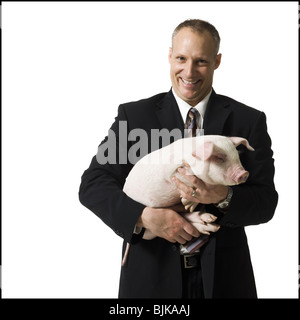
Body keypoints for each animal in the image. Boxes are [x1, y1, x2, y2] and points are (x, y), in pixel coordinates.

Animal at [120, 135, 254, 264]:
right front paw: (186, 202)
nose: (244, 174)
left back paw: (210, 221)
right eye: (220, 158)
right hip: (149, 226)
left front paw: (188, 204)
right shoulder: (173, 171)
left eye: (236, 156)